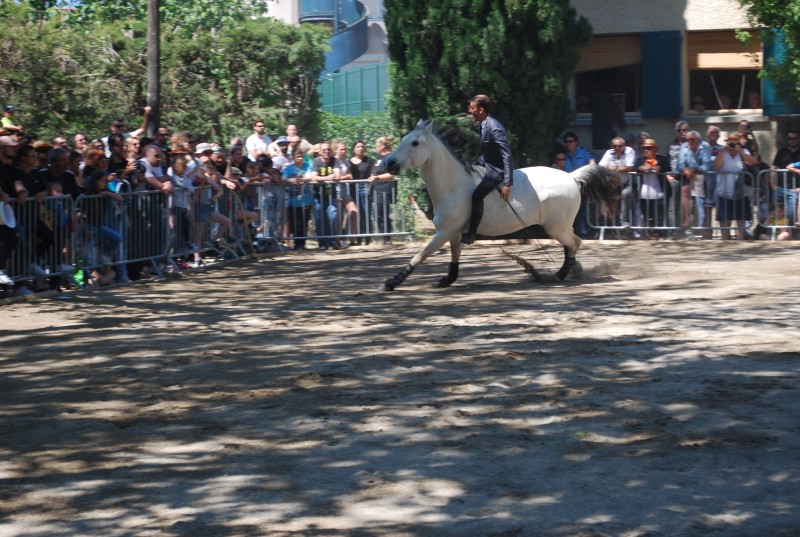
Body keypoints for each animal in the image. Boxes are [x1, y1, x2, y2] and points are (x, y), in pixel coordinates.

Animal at [380, 119, 620, 292]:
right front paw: (448, 280)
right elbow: (454, 257)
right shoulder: (453, 232)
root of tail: (571, 176)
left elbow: (420, 255)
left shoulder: (444, 232)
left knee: (574, 243)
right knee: (571, 244)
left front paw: (391, 283)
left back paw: (559, 275)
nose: (388, 163)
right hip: (560, 227)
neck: (453, 185)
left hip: (555, 228)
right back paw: (570, 270)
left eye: (415, 143)